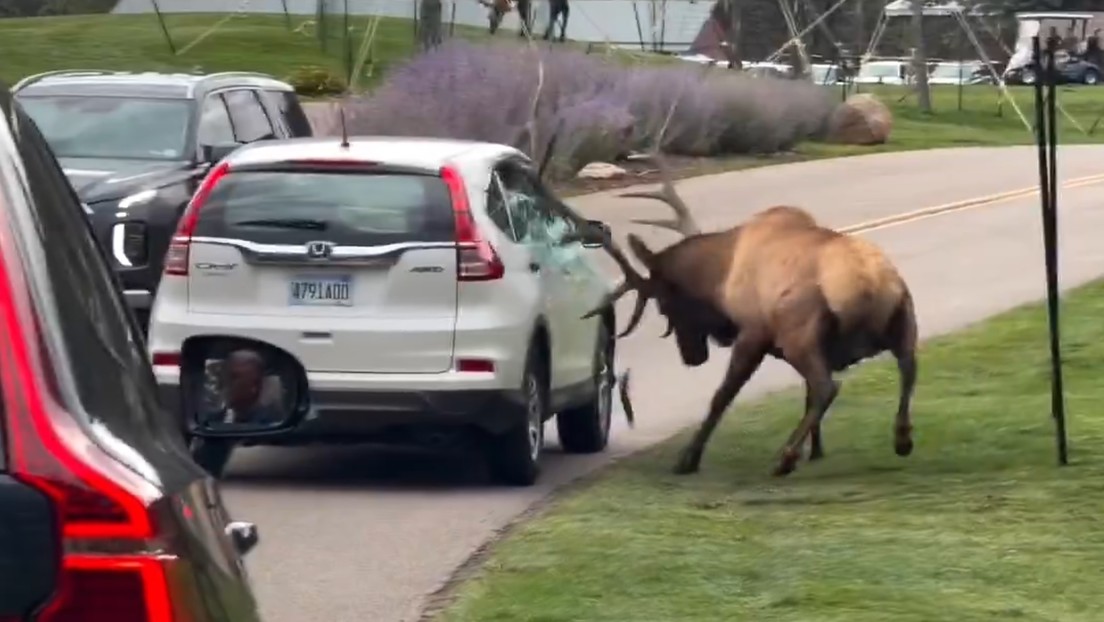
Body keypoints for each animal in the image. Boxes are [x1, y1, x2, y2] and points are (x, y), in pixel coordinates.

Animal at [572, 157, 919, 478]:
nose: (692, 357)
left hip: (799, 334)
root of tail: (870, 285)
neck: (722, 277)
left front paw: (688, 459)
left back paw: (785, 457)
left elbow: (722, 395)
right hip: (904, 317)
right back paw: (901, 438)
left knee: (827, 387)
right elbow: (802, 395)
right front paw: (817, 450)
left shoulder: (753, 331)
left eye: (664, 305)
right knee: (908, 368)